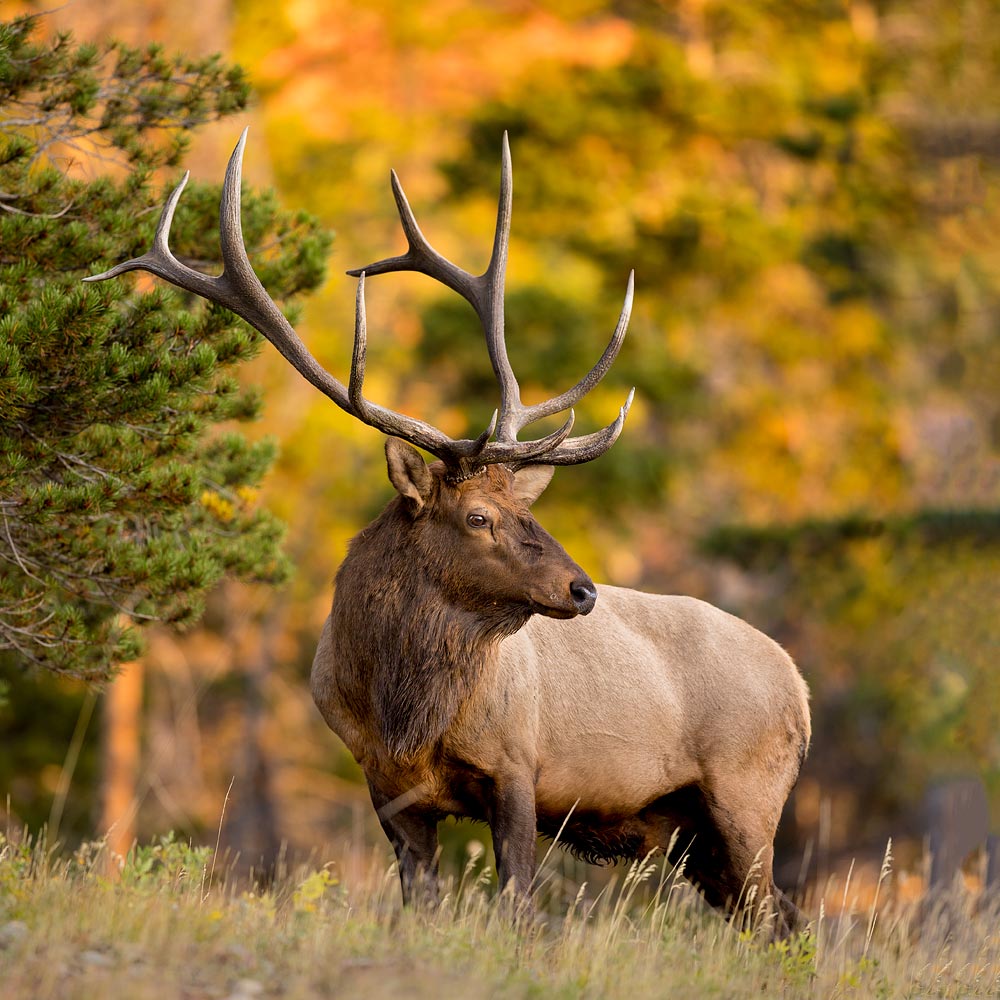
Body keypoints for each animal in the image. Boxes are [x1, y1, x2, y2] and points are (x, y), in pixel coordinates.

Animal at [86, 128, 811, 935]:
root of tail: (801, 689)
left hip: (747, 795)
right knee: (776, 916)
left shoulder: (519, 768)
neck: (404, 714)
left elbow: (518, 904)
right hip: (690, 833)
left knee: (779, 915)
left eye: (528, 512)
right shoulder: (388, 790)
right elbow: (420, 904)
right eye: (478, 517)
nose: (582, 590)